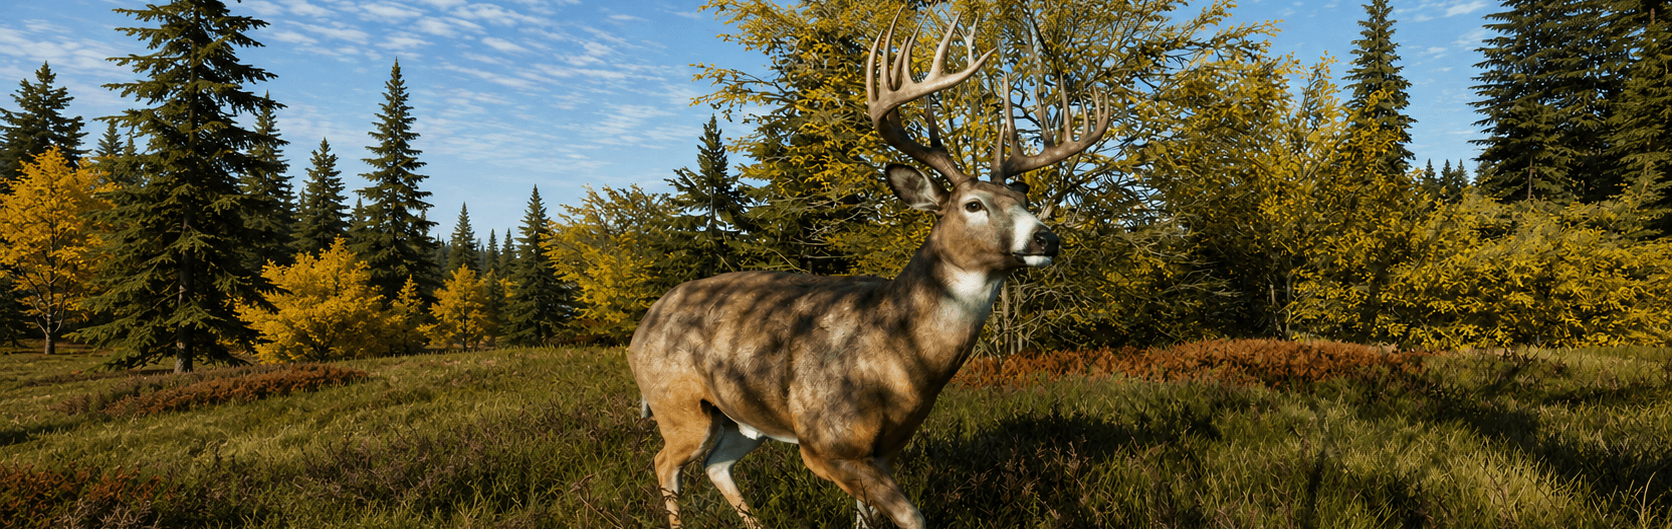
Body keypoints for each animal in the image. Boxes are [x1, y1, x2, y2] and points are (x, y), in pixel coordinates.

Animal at [627, 10, 1109, 529]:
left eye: (1022, 199)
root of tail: (642, 326)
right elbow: (912, 516)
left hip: (741, 417)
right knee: (665, 463)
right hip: (677, 404)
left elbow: (866, 515)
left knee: (717, 465)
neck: (896, 357)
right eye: (973, 205)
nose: (1046, 238)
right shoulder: (823, 442)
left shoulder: (885, 446)